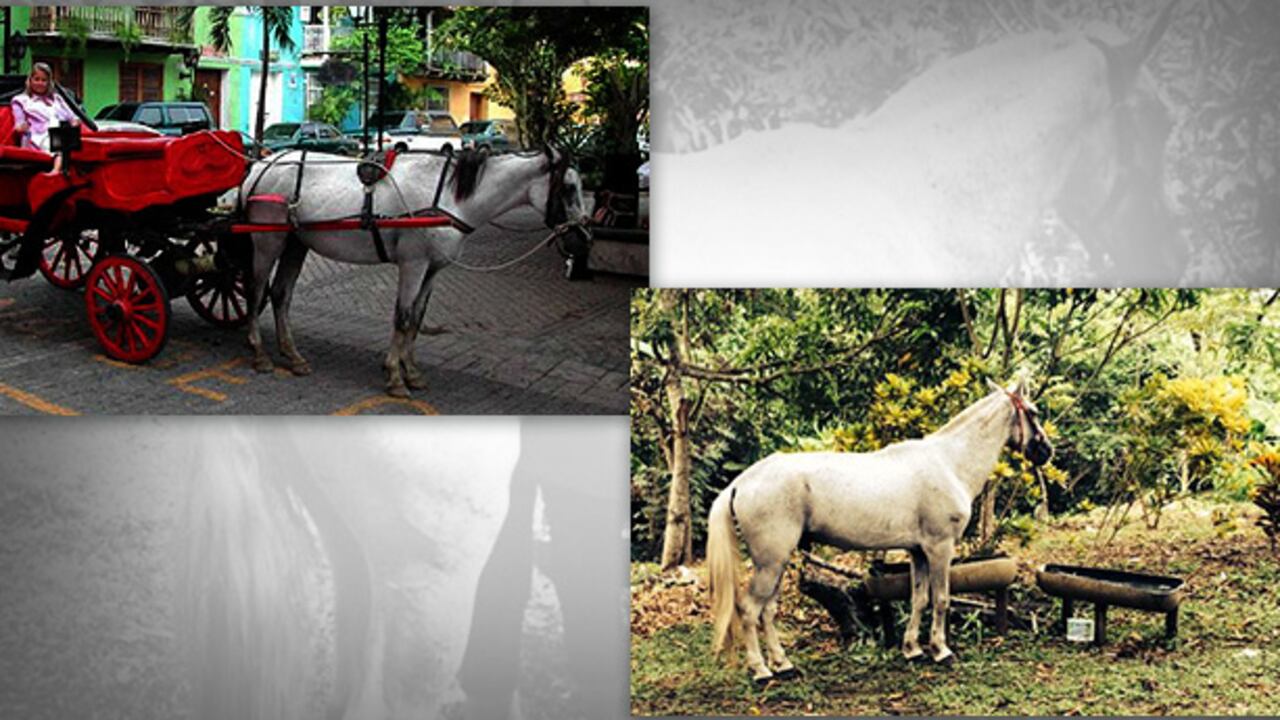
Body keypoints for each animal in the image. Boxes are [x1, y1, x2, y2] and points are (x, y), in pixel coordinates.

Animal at [240, 145, 590, 397]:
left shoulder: (432, 269)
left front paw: (411, 371)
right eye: (568, 188)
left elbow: (418, 319)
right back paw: (259, 353)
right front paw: (396, 376)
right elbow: (403, 316)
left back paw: (292, 355)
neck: (448, 198)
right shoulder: (414, 263)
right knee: (256, 292)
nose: (583, 240)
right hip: (268, 241)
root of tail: (262, 165)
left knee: (280, 294)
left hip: (295, 244)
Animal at [705, 379, 1053, 684]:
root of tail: (742, 481)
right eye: (1033, 412)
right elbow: (941, 599)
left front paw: (912, 649)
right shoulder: (940, 548)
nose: (1046, 451)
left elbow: (919, 599)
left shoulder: (918, 552)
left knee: (768, 611)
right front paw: (941, 651)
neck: (948, 463)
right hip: (771, 562)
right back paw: (761, 670)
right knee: (750, 610)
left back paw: (783, 665)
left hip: (777, 562)